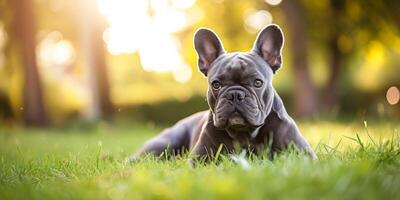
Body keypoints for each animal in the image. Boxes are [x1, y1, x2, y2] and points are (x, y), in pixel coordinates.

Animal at [130, 24, 318, 162]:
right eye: (216, 84)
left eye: (258, 82)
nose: (235, 94)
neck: (244, 134)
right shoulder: (199, 160)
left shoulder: (304, 155)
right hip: (165, 143)